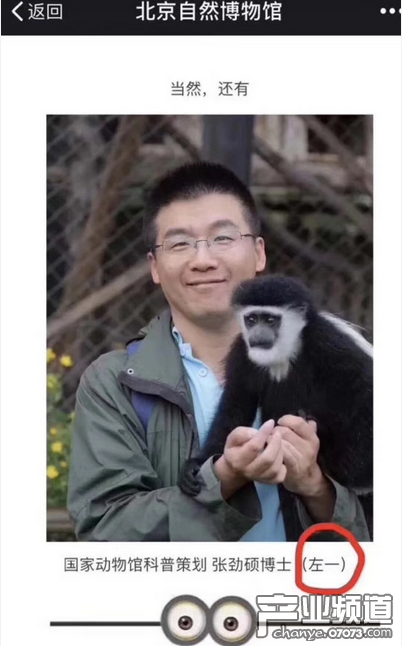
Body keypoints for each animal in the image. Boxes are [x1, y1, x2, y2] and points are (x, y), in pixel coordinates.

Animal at [178, 275, 373, 533]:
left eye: (270, 319)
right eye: (251, 319)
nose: (258, 335)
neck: (283, 354)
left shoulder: (330, 344)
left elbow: (366, 392)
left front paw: (351, 476)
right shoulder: (242, 352)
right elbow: (235, 405)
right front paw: (198, 464)